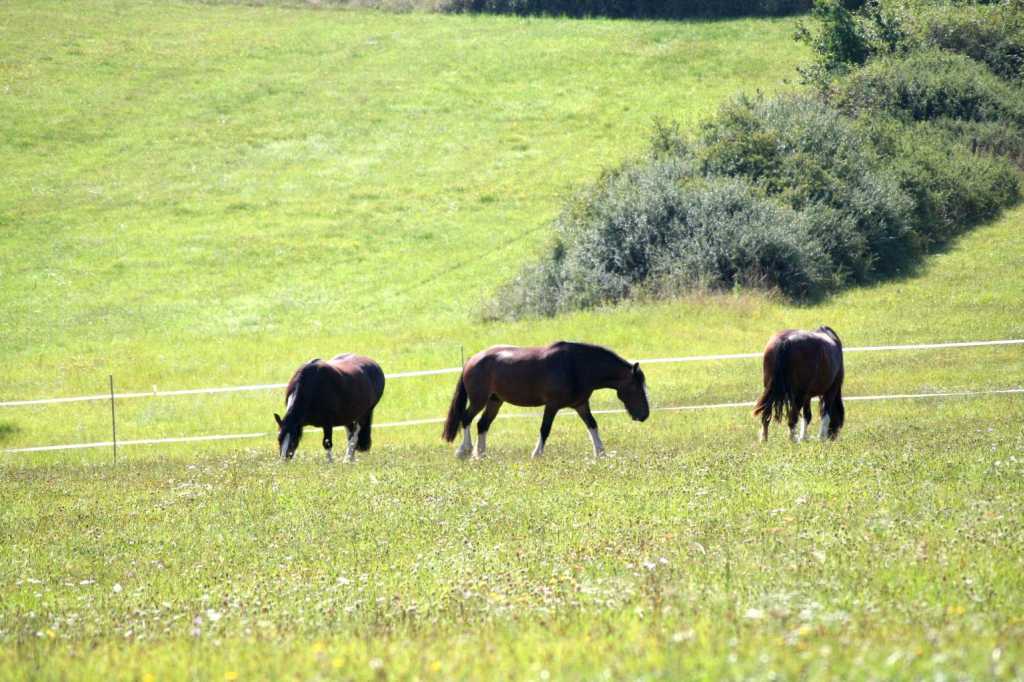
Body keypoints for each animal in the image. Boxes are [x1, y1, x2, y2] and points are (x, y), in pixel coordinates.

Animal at [442, 341, 650, 459]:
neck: (577, 366)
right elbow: (545, 429)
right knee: (466, 419)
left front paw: (601, 454)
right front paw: (536, 454)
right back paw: (465, 451)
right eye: (635, 388)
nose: (644, 415)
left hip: (495, 401)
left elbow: (593, 425)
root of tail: (471, 360)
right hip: (479, 400)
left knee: (482, 425)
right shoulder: (552, 405)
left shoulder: (581, 405)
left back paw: (481, 454)